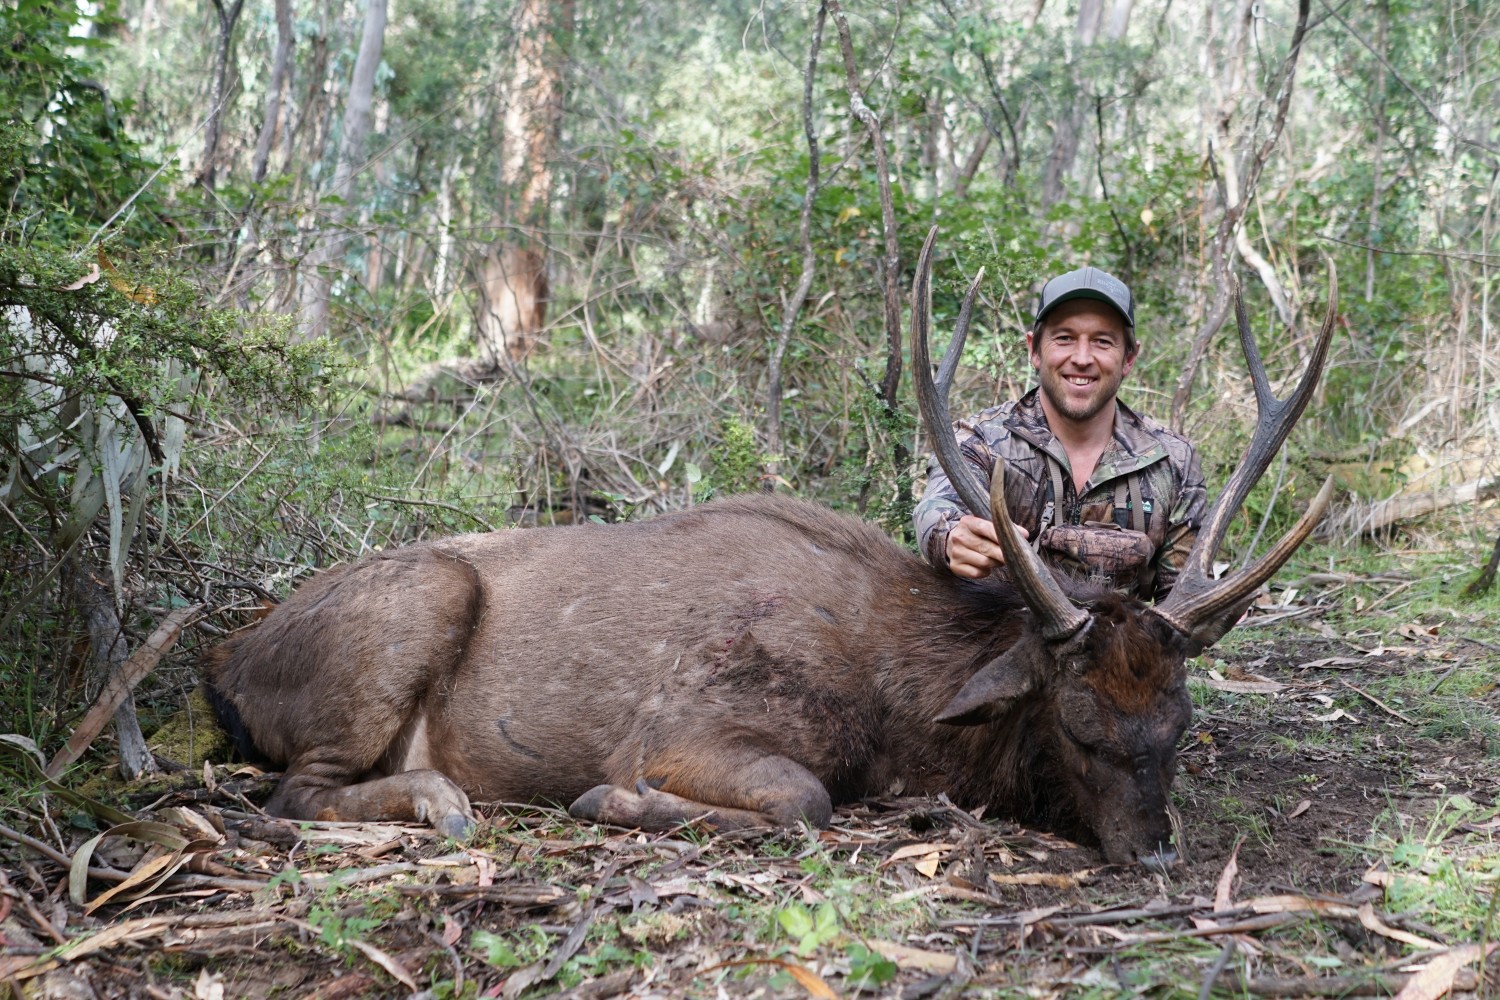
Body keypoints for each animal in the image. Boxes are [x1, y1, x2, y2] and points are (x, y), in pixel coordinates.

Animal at [205, 229, 1344, 869]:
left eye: (1177, 723)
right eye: (1078, 724)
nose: (1155, 859)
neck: (899, 708)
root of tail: (228, 663)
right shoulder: (689, 724)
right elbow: (804, 798)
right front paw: (608, 799)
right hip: (415, 604)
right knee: (290, 792)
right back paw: (441, 801)